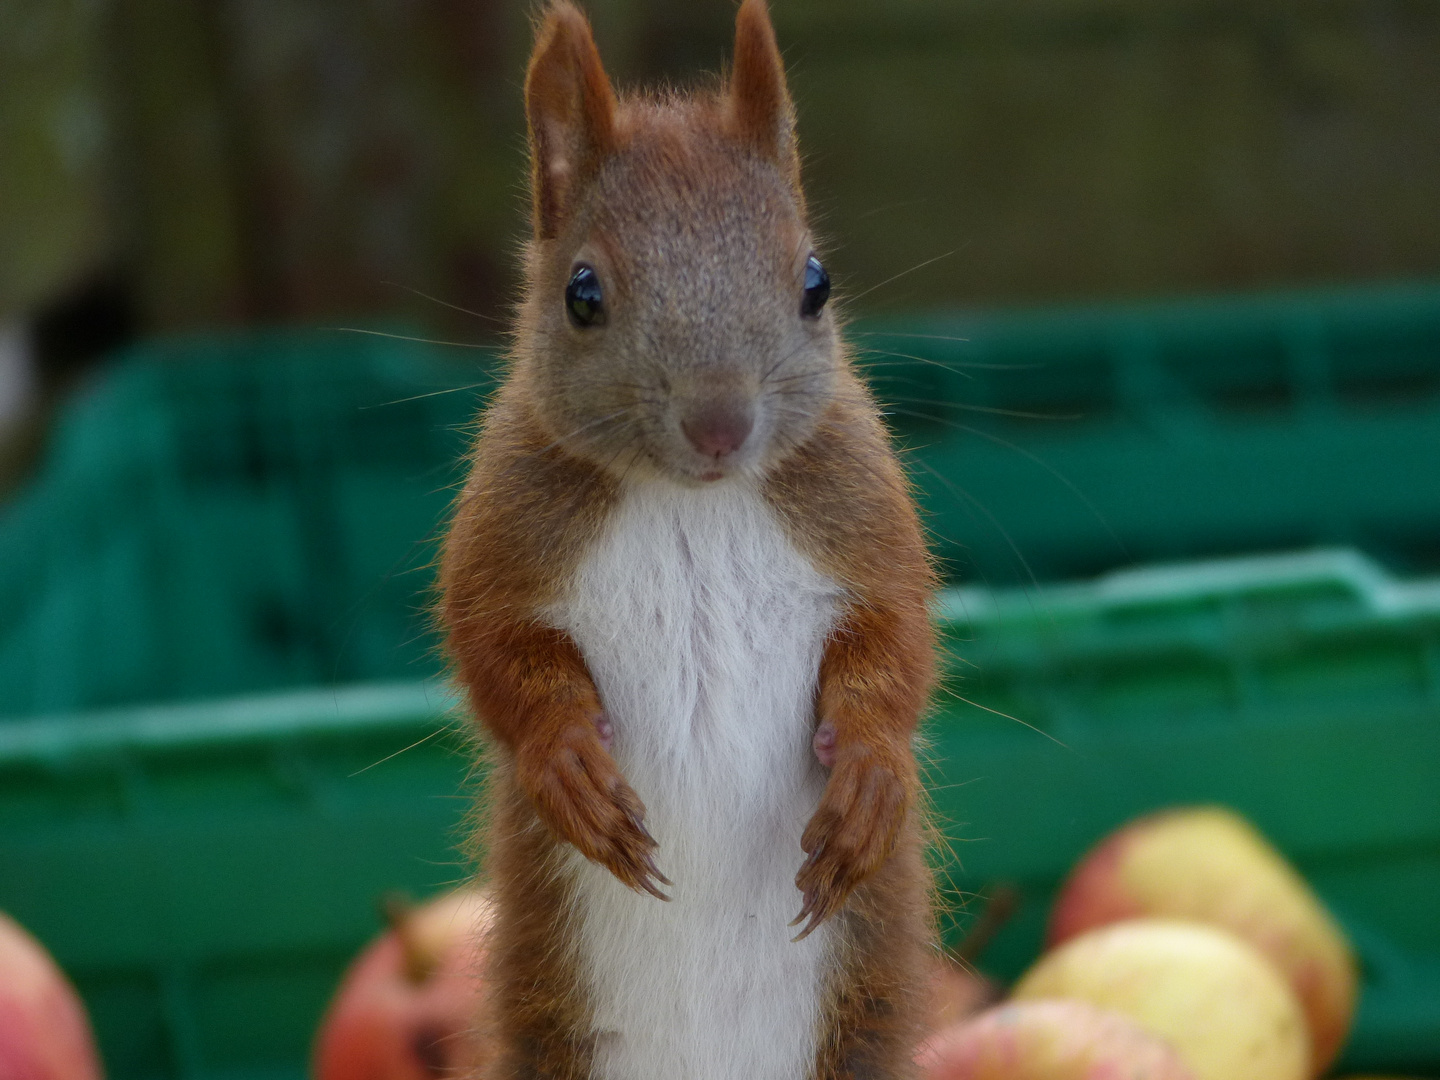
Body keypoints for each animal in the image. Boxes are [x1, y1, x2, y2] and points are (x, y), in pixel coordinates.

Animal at [437, 4, 933, 1077]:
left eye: (816, 282)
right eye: (582, 293)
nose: (719, 424)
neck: (689, 503)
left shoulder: (862, 518)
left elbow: (899, 645)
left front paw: (871, 778)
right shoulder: (504, 533)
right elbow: (493, 653)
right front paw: (568, 765)